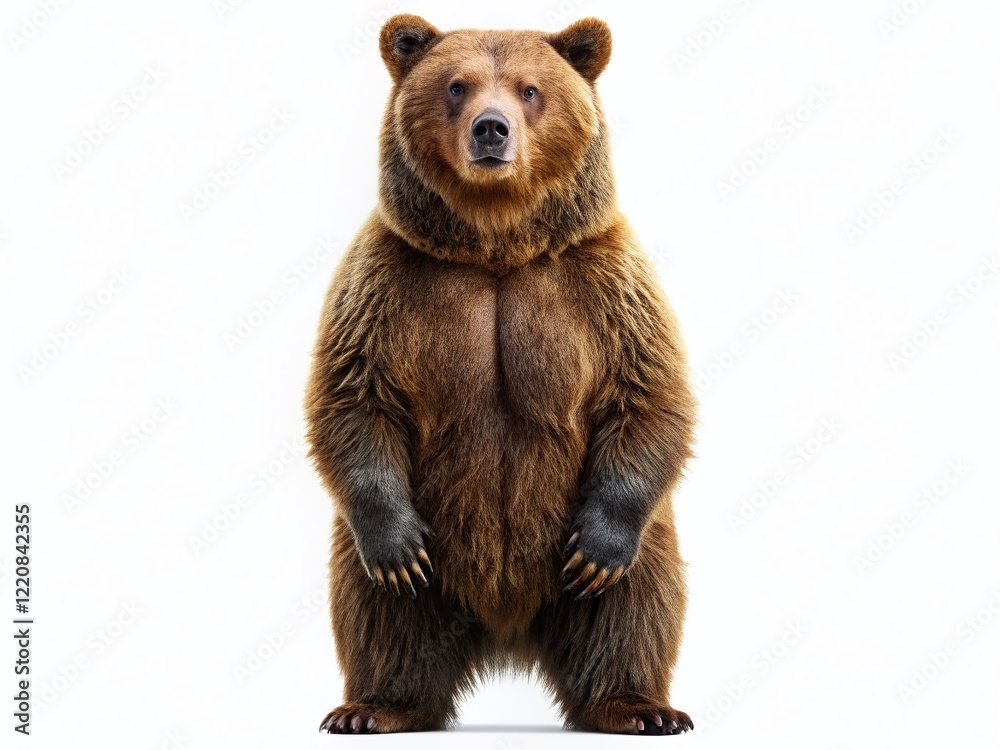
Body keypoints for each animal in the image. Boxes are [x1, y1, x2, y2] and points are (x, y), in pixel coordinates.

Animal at [305, 14, 696, 736]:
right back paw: (375, 705)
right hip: (413, 550)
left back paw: (638, 706)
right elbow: (353, 394)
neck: (496, 246)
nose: (492, 128)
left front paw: (599, 548)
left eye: (530, 88)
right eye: (456, 86)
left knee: (634, 605)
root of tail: (506, 633)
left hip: (625, 542)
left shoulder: (606, 285)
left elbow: (649, 393)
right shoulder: (385, 282)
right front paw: (397, 548)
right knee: (379, 611)